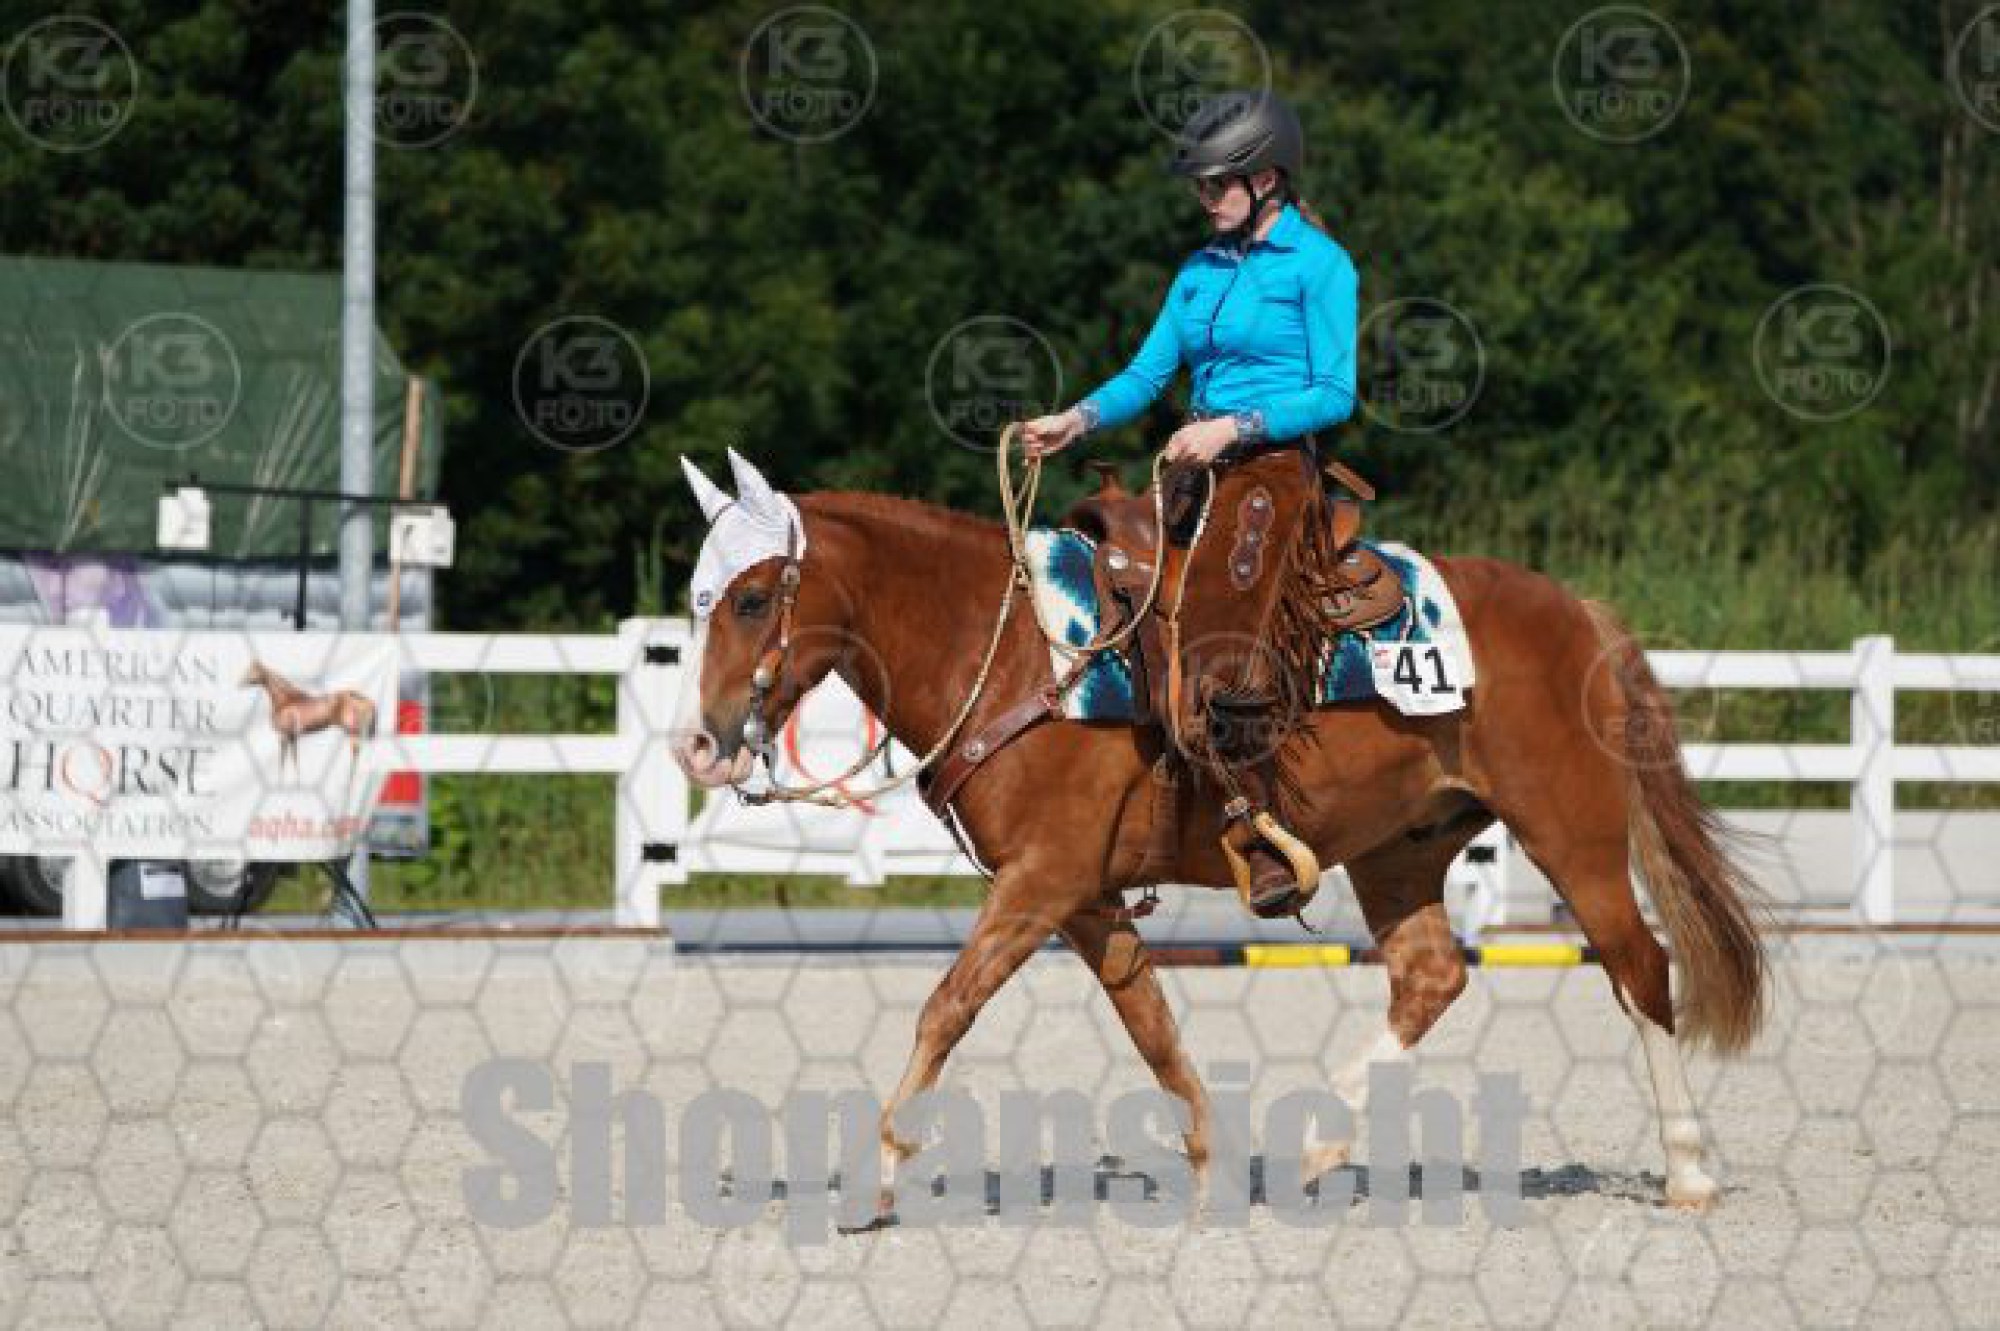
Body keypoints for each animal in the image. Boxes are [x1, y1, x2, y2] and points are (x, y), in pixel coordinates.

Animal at [241, 660, 379, 781]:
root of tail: (364, 699)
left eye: (253, 670)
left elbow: (283, 761)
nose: (240, 682)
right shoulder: (292, 737)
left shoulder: (284, 736)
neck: (286, 701)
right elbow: (293, 760)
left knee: (356, 753)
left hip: (352, 731)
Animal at [670, 448, 1768, 1217]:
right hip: (1401, 844)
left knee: (1638, 966)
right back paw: (1320, 1141)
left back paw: (1688, 1171)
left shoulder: (1038, 881)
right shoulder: (1084, 897)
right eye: (698, 600)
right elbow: (1152, 1028)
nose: (697, 743)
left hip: (1571, 831)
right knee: (1429, 975)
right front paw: (1212, 1171)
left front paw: (879, 1172)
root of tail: (1575, 610)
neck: (1021, 652)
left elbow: (947, 1008)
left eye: (754, 598)